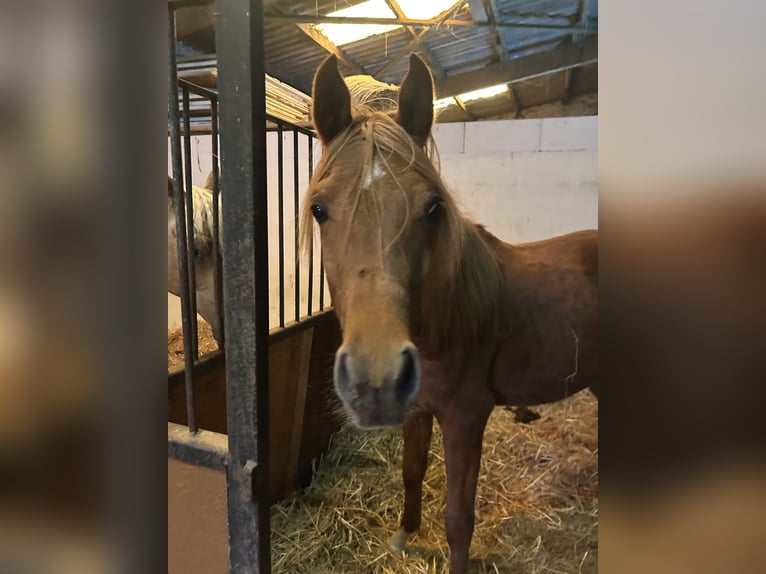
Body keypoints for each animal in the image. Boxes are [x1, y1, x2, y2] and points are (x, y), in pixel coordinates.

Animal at [302, 53, 598, 573]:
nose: (375, 378)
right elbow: (411, 471)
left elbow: (459, 518)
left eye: (432, 208)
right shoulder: (417, 408)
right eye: (320, 208)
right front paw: (404, 534)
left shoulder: (466, 416)